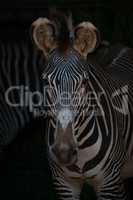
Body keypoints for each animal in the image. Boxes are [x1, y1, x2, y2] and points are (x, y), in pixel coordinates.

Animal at [31, 12, 133, 200]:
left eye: (84, 82)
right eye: (46, 82)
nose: (63, 152)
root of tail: (122, 47)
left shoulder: (110, 184)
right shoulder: (64, 184)